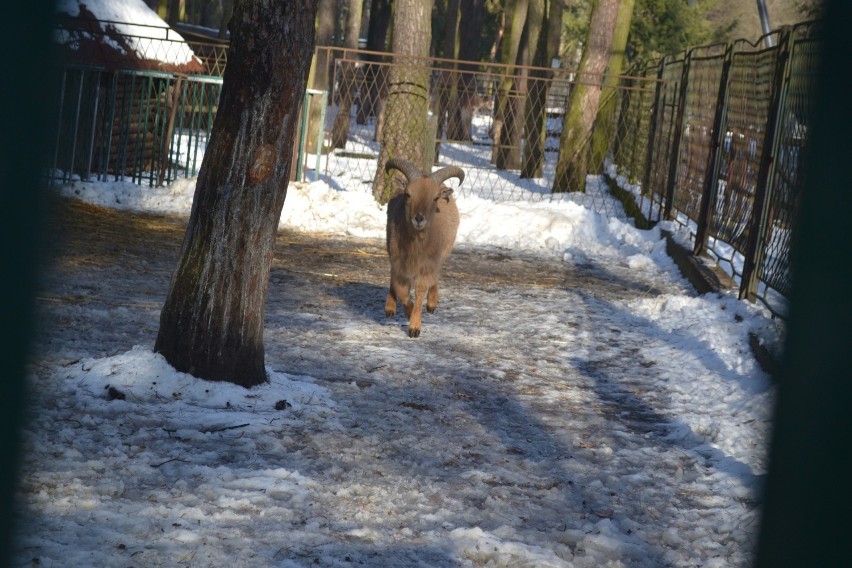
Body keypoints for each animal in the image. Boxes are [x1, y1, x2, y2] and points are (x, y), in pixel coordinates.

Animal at [384, 158, 462, 338]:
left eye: (435, 198)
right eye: (408, 194)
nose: (419, 219)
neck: (416, 245)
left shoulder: (428, 264)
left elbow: (420, 290)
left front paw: (414, 327)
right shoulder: (398, 258)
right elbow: (401, 289)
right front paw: (407, 311)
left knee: (434, 277)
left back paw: (432, 303)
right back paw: (389, 308)